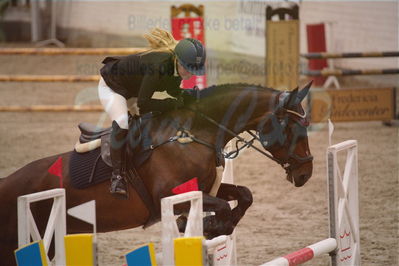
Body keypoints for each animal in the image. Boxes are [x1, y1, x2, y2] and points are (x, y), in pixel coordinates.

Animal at [0, 82, 314, 264]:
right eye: (293, 128)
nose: (306, 174)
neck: (194, 131)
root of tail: (6, 184)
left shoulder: (204, 187)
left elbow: (244, 196)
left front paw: (215, 226)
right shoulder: (170, 193)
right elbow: (223, 207)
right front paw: (210, 226)